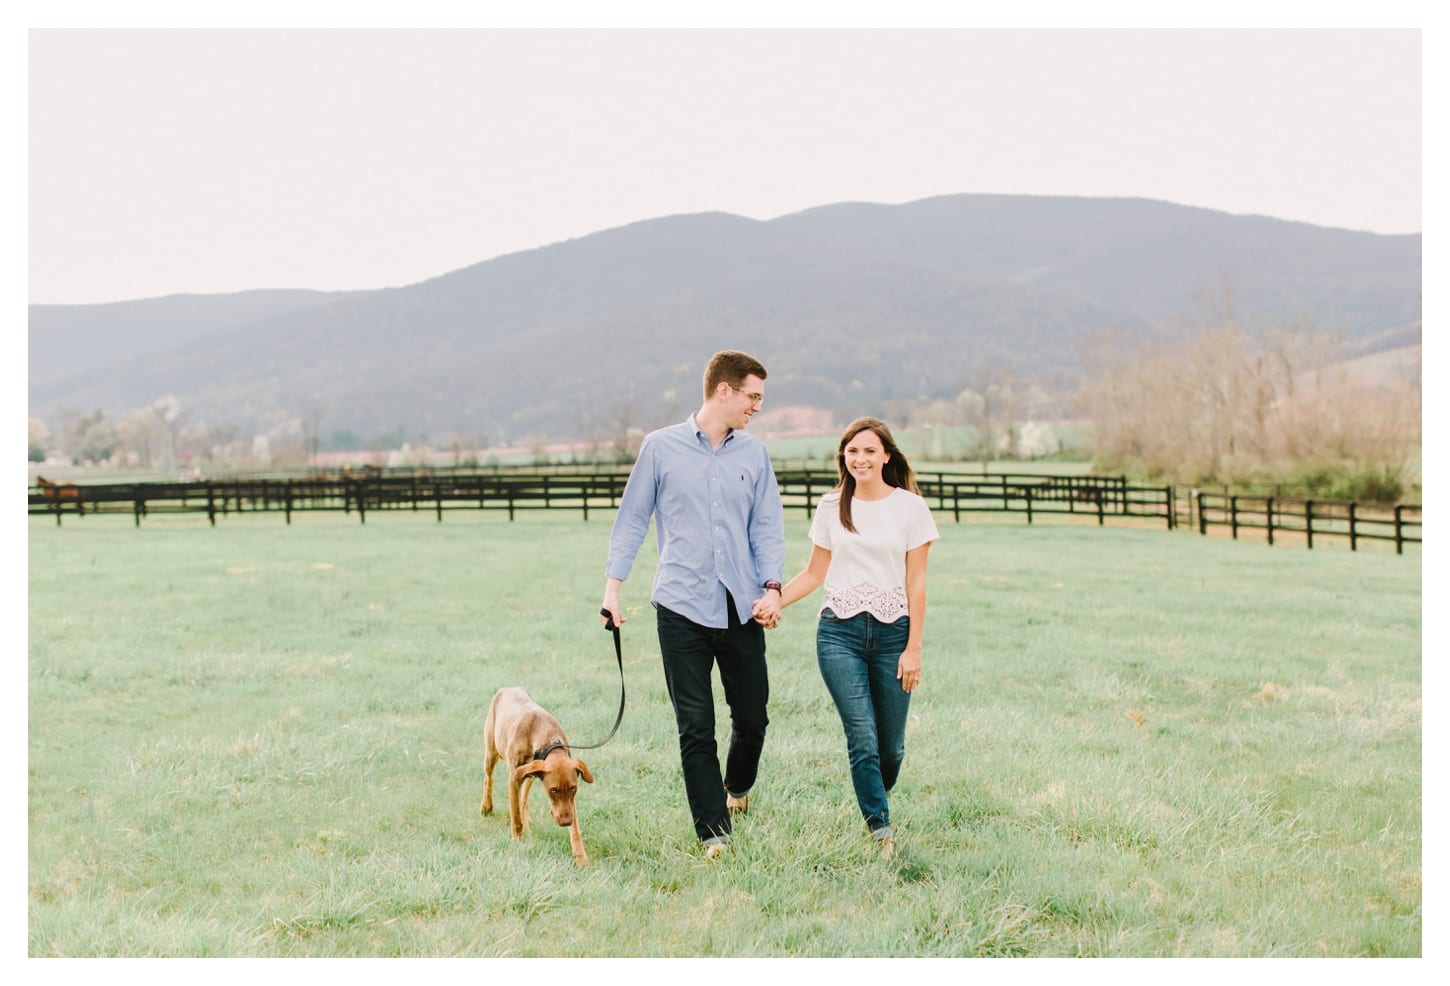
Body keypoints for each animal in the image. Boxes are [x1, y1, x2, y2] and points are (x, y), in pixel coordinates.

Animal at [481, 684, 594, 864]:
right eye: (553, 790)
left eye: (573, 789)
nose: (566, 822)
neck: (546, 737)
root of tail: (509, 687)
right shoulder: (514, 778)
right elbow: (515, 815)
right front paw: (517, 841)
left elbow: (576, 830)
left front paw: (581, 857)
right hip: (491, 752)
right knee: (488, 778)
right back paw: (486, 806)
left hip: (531, 774)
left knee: (524, 800)